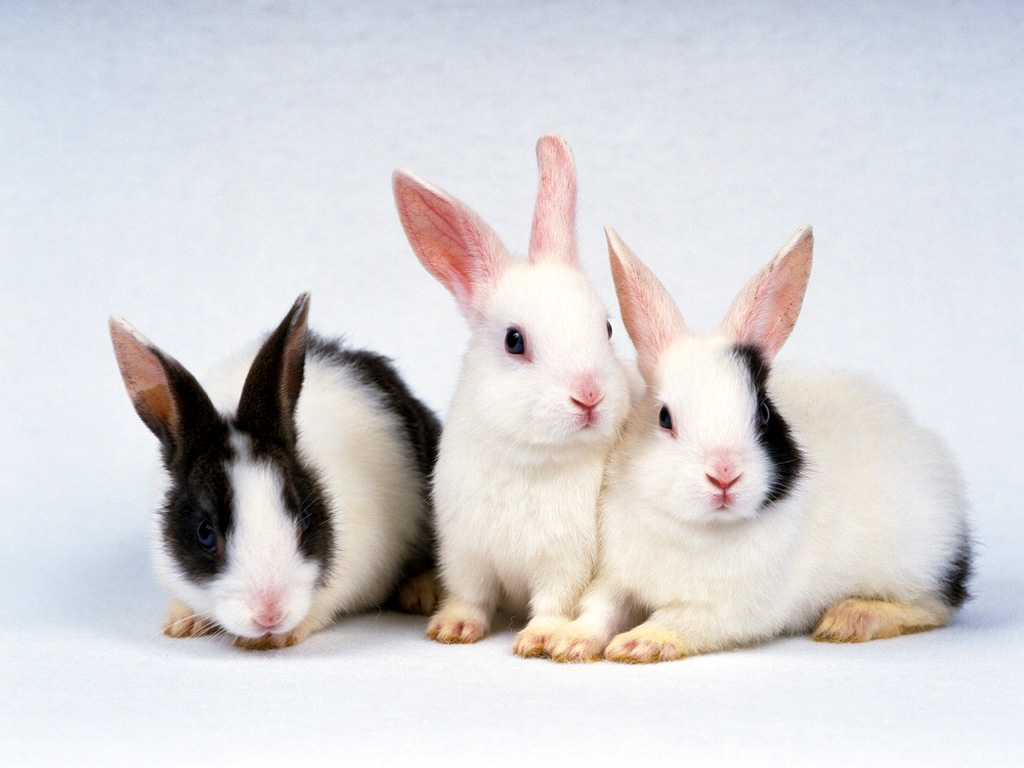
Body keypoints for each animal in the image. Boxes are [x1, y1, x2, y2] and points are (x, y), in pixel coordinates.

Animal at [109, 293, 441, 649]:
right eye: (205, 533)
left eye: (305, 519)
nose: (270, 615)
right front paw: (181, 621)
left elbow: (322, 605)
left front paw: (278, 637)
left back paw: (420, 594)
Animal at [392, 135, 634, 656]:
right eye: (514, 341)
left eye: (606, 329)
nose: (589, 396)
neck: (529, 456)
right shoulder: (466, 552)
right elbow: (470, 595)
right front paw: (453, 628)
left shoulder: (565, 562)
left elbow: (554, 602)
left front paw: (540, 638)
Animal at [546, 226, 972, 663]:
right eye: (664, 418)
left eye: (764, 415)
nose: (724, 475)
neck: (696, 527)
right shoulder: (616, 578)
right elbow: (600, 609)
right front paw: (569, 642)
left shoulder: (726, 611)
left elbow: (677, 619)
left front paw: (638, 643)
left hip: (916, 562)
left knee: (934, 606)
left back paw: (851, 618)